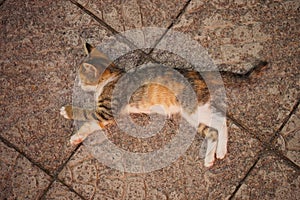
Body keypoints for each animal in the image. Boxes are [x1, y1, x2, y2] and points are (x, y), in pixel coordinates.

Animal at [60, 42, 268, 167]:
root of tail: (198, 73)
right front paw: (77, 137)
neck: (111, 78)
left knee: (218, 124)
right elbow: (89, 125)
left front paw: (67, 110)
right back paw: (216, 154)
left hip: (193, 110)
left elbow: (86, 114)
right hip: (196, 113)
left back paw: (215, 154)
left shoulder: (107, 111)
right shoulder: (106, 118)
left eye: (81, 76)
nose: (78, 84)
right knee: (216, 125)